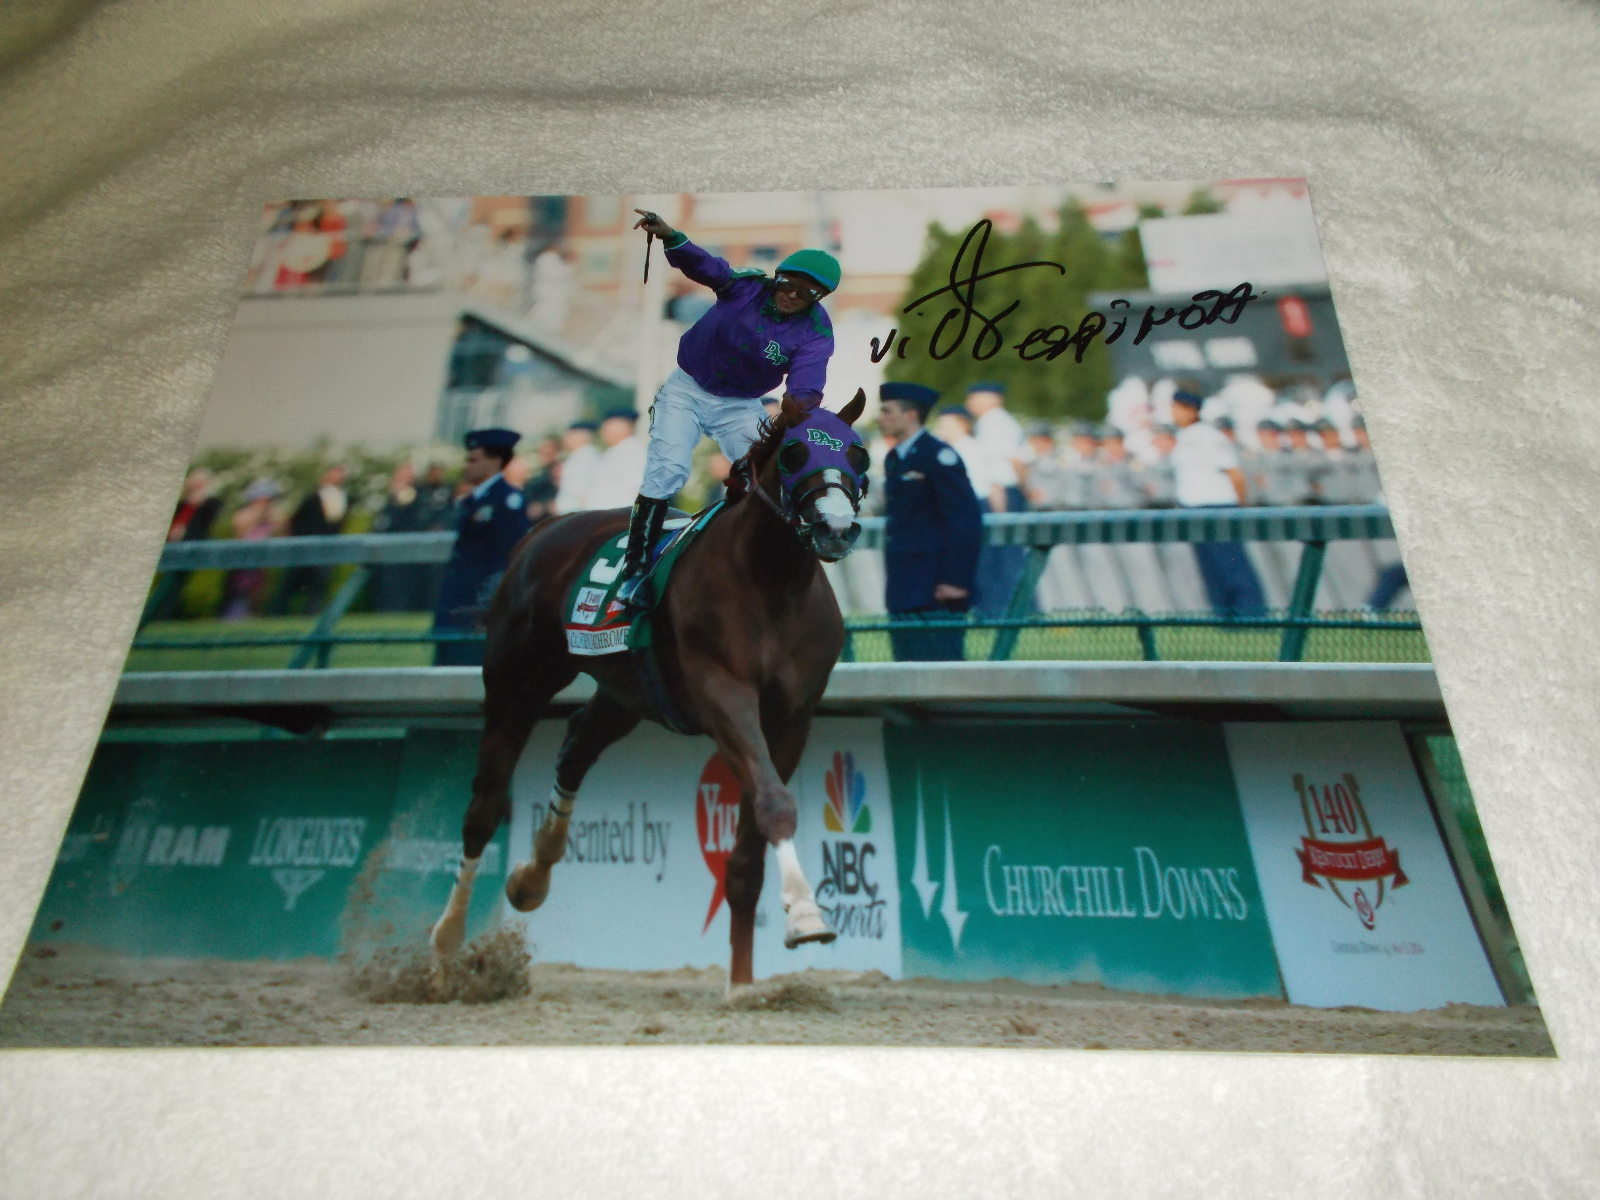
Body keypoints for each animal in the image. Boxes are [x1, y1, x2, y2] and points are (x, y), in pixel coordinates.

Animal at [432, 390, 870, 992]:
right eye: (794, 454)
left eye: (860, 455)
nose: (836, 527)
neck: (769, 580)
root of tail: (545, 528)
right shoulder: (722, 692)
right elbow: (775, 802)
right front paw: (806, 916)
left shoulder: (793, 718)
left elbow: (748, 850)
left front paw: (742, 983)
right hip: (515, 683)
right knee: (485, 805)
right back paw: (445, 946)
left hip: (627, 693)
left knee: (575, 749)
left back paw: (531, 877)